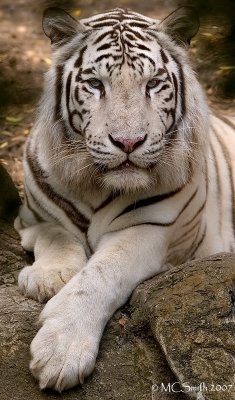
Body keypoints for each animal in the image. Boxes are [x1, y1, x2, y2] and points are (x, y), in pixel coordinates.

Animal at [14, 6, 235, 392]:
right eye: (95, 84)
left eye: (153, 84)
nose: (128, 142)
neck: (94, 185)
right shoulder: (30, 218)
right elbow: (55, 232)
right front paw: (49, 275)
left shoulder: (155, 229)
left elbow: (102, 274)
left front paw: (61, 350)